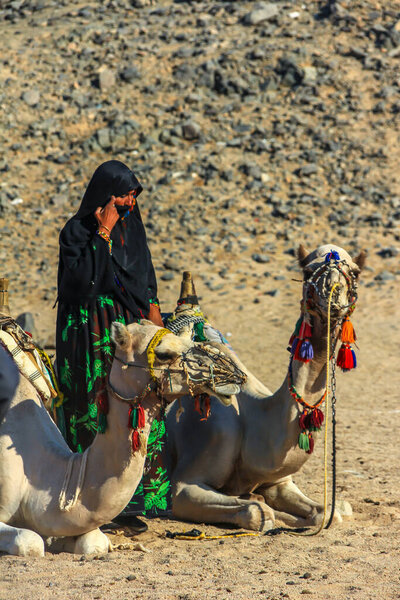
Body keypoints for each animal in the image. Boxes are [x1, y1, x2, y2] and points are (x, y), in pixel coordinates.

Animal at [166, 246, 366, 532]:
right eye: (307, 270)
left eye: (355, 271)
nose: (332, 291)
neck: (255, 417)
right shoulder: (187, 482)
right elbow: (258, 513)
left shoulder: (278, 483)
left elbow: (325, 512)